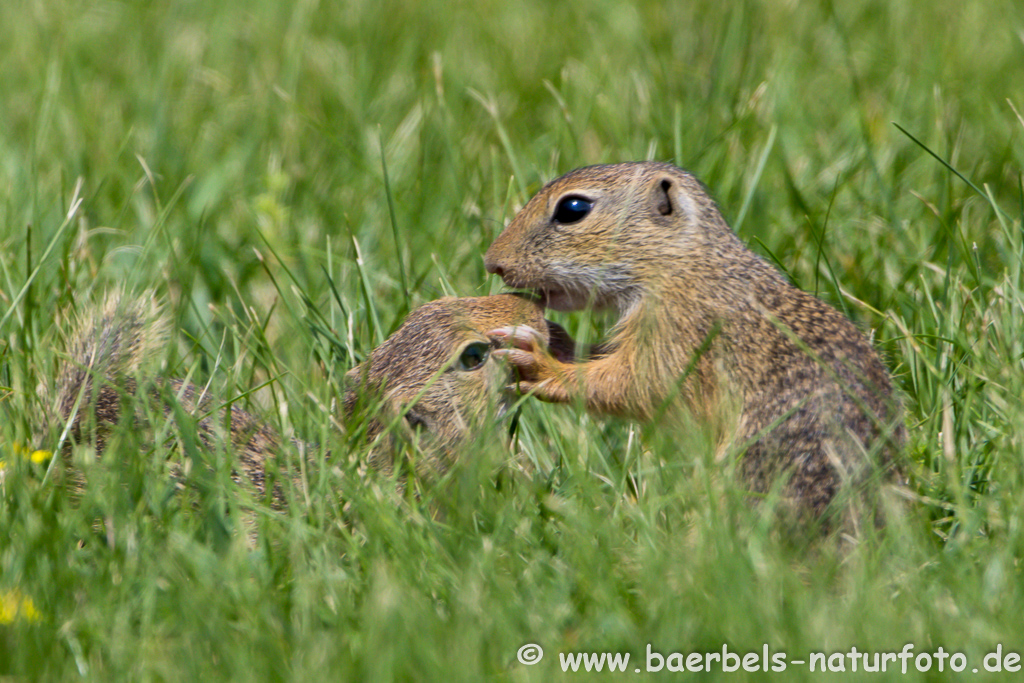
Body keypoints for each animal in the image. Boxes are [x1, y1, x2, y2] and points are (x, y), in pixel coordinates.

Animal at [485, 161, 905, 518]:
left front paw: (540, 362)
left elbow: (633, 384)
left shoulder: (679, 334)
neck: (686, 263)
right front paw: (555, 340)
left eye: (573, 208)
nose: (492, 263)